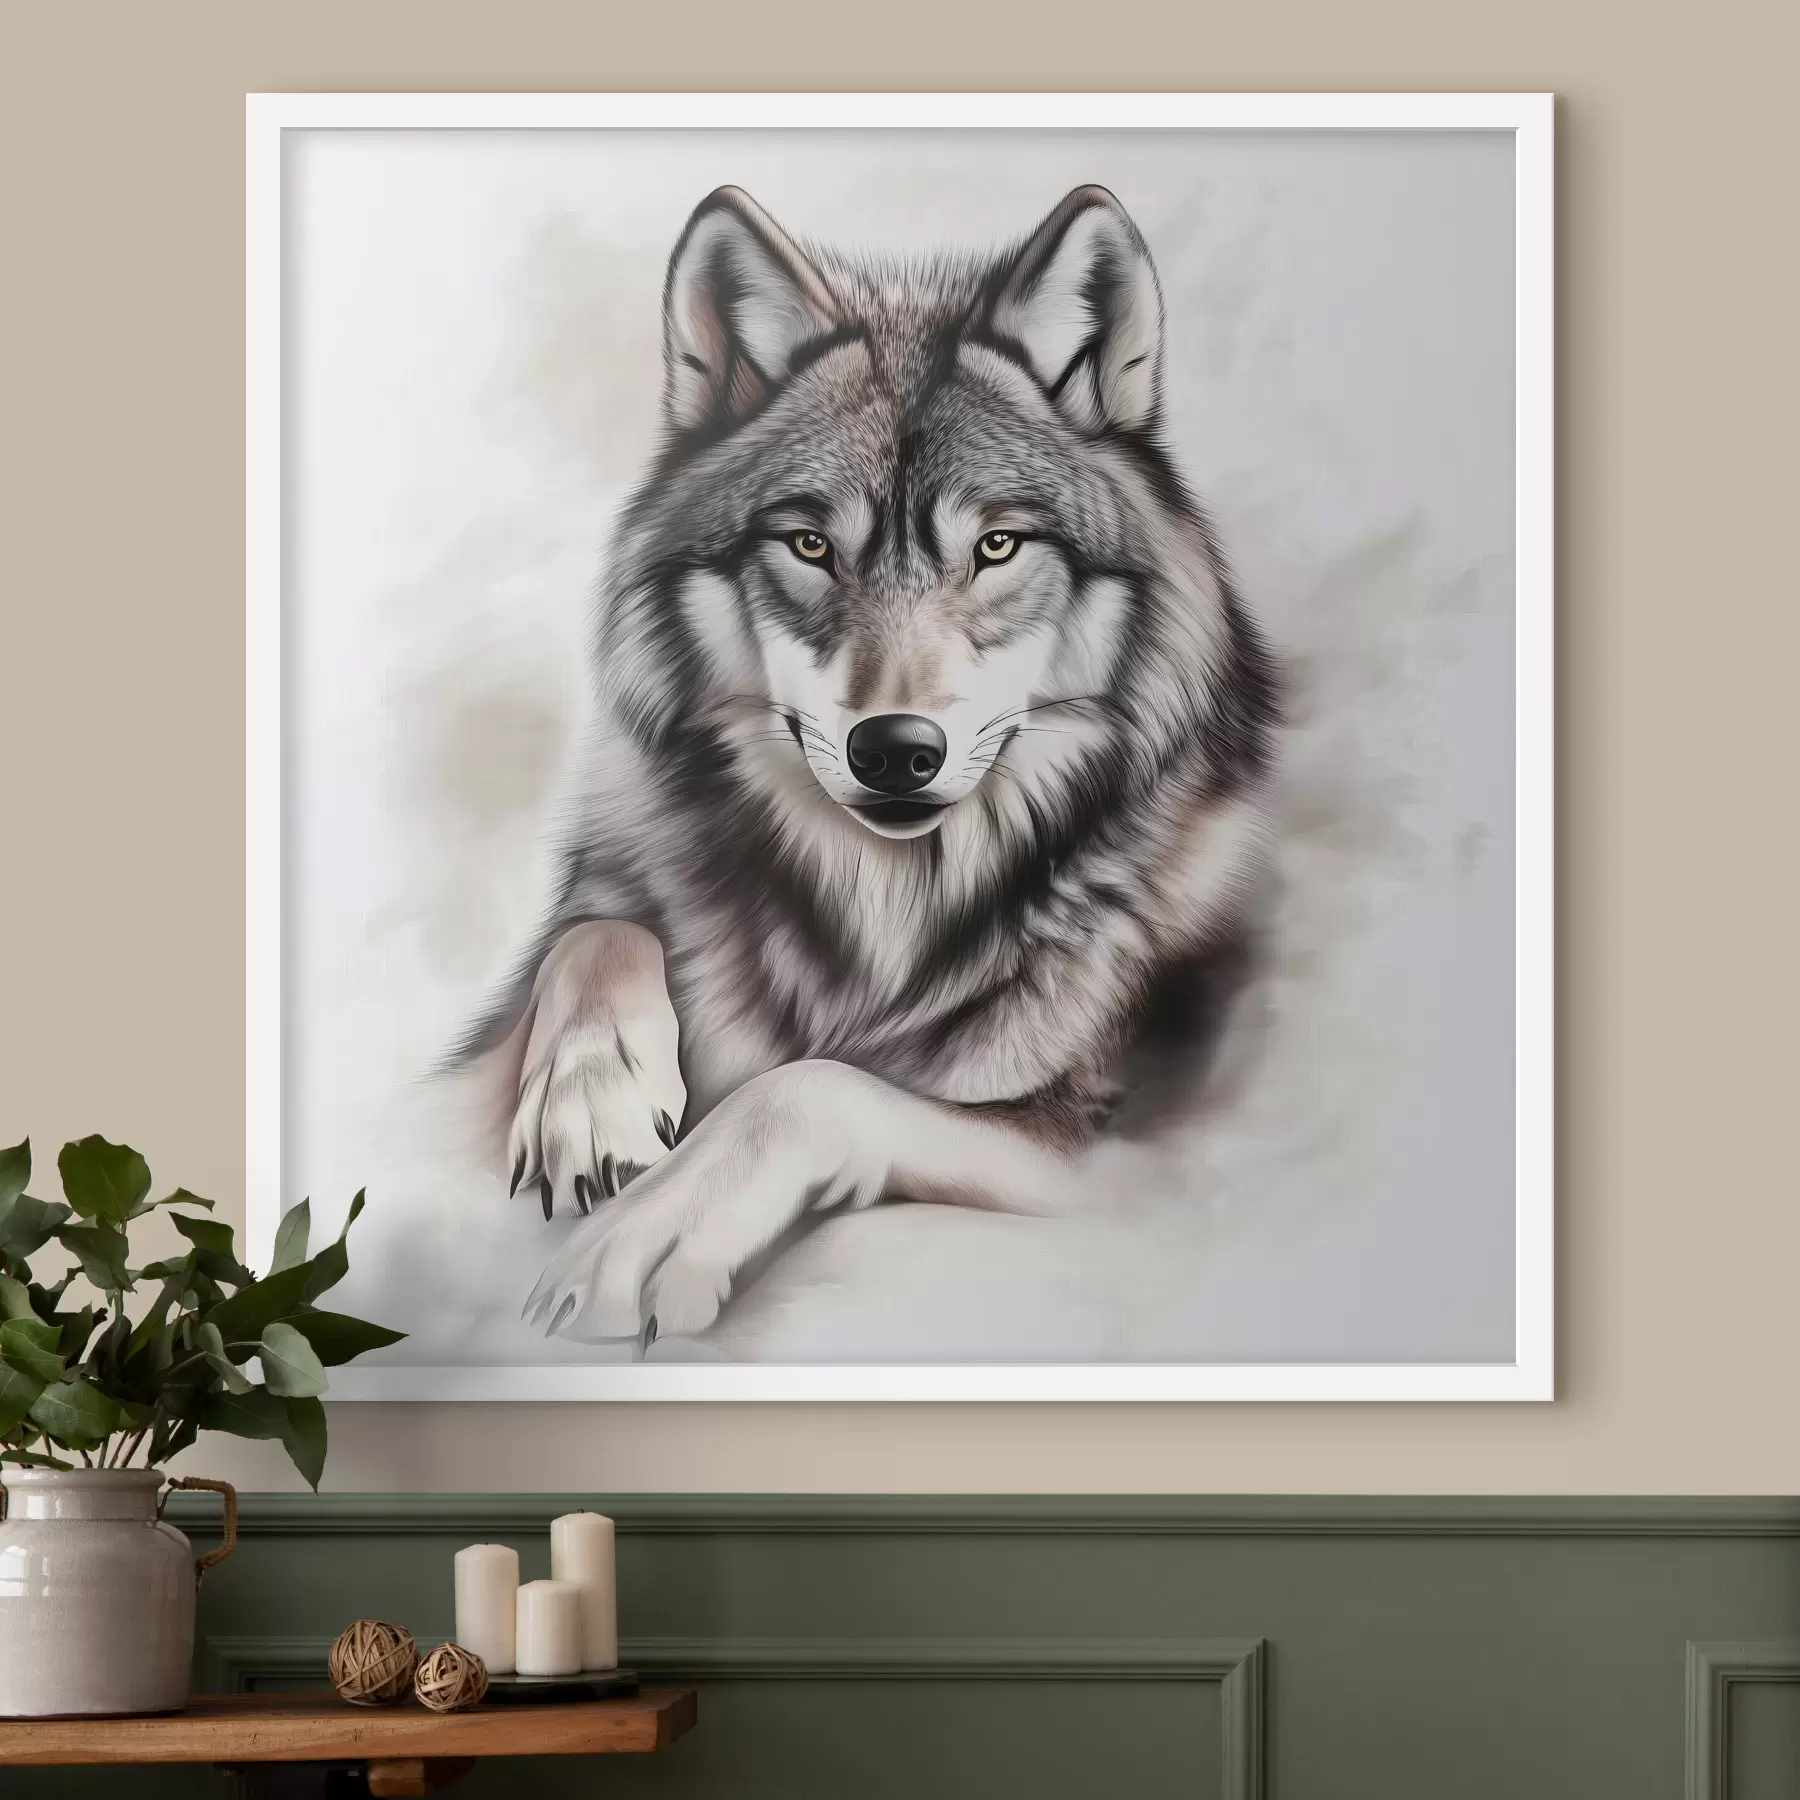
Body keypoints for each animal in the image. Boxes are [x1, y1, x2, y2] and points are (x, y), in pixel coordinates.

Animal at [460, 183, 1279, 1346]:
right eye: (809, 546)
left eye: (996, 547)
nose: (896, 750)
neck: (883, 908)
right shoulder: (612, 872)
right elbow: (597, 932)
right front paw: (592, 1102)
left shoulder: (1115, 1152)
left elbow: (809, 1086)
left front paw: (651, 1232)